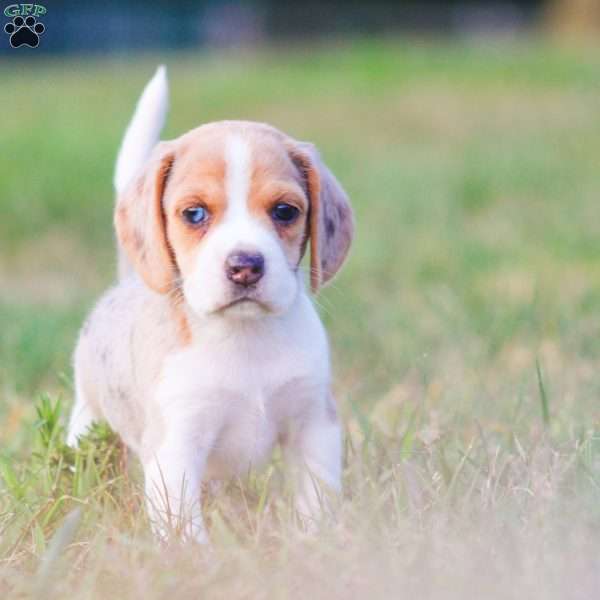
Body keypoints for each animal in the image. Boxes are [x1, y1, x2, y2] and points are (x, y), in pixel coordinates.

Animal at [68, 67, 354, 544]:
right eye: (195, 214)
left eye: (285, 211)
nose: (245, 266)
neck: (244, 338)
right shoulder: (176, 447)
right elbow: (184, 531)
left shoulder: (314, 425)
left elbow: (317, 500)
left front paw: (317, 544)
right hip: (88, 418)